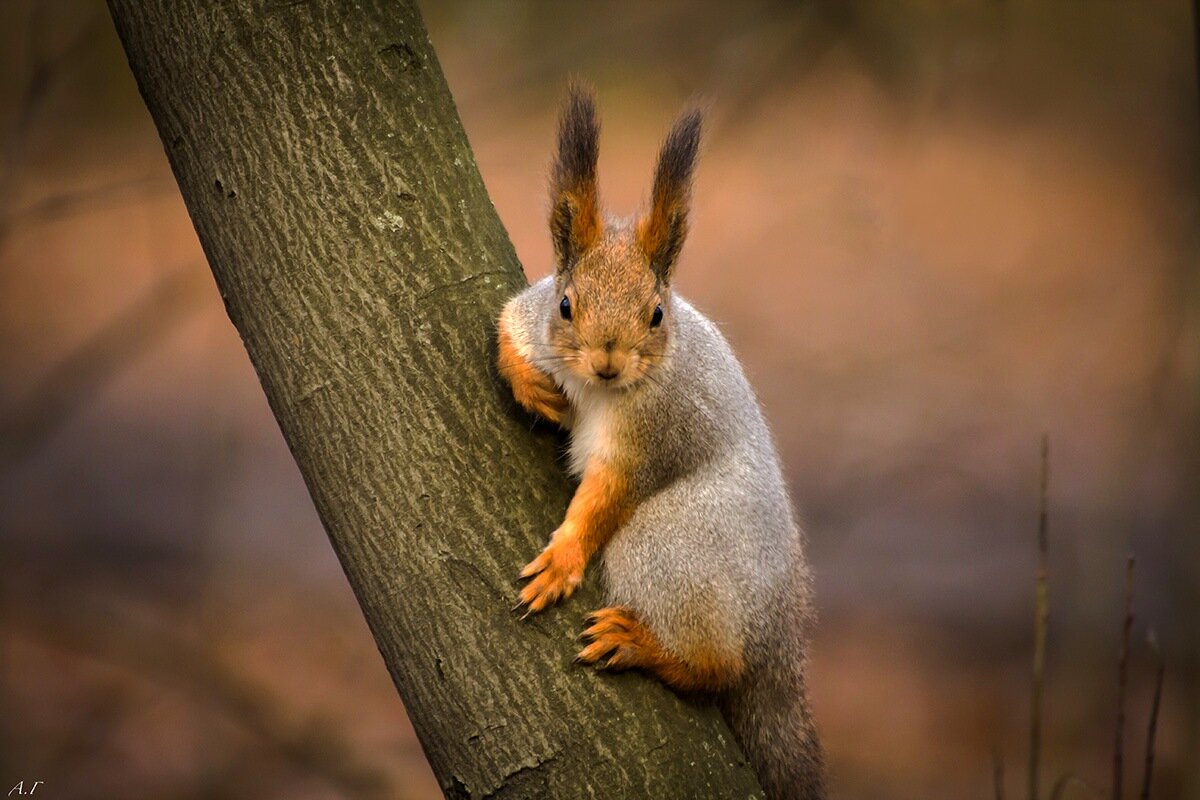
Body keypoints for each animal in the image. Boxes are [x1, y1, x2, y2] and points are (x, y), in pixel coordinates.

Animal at [494, 86, 825, 800]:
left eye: (656, 314)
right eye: (565, 305)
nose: (606, 363)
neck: (600, 392)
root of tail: (779, 639)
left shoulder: (654, 434)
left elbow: (608, 496)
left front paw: (562, 561)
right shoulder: (529, 313)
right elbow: (506, 323)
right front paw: (530, 385)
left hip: (670, 545)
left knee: (718, 666)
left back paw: (643, 645)